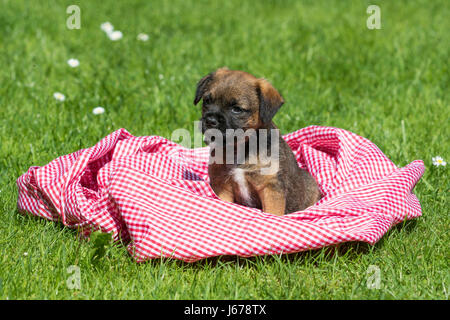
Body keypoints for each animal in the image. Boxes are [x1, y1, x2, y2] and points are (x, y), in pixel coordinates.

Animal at [193, 67, 320, 215]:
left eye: (237, 109)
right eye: (207, 101)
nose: (210, 120)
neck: (239, 148)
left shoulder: (271, 190)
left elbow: (272, 214)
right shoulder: (222, 185)